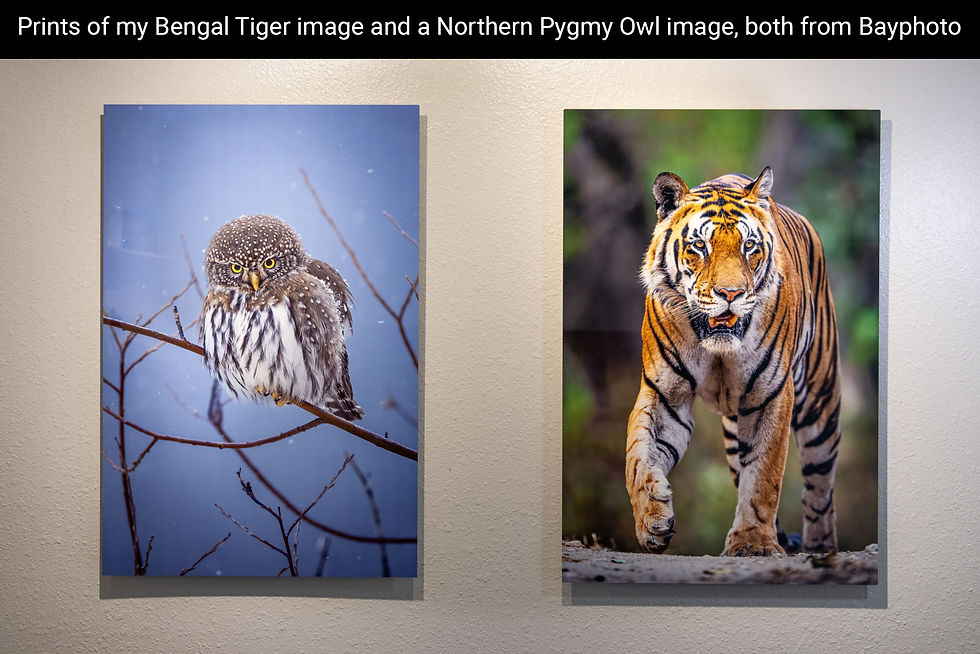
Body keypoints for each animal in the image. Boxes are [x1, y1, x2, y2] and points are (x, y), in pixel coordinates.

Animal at [626, 167, 841, 556]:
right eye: (700, 246)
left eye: (749, 246)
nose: (731, 294)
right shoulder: (665, 393)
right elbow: (639, 455)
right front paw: (652, 519)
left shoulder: (770, 395)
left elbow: (764, 476)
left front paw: (753, 543)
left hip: (820, 405)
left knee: (820, 490)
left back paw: (819, 549)